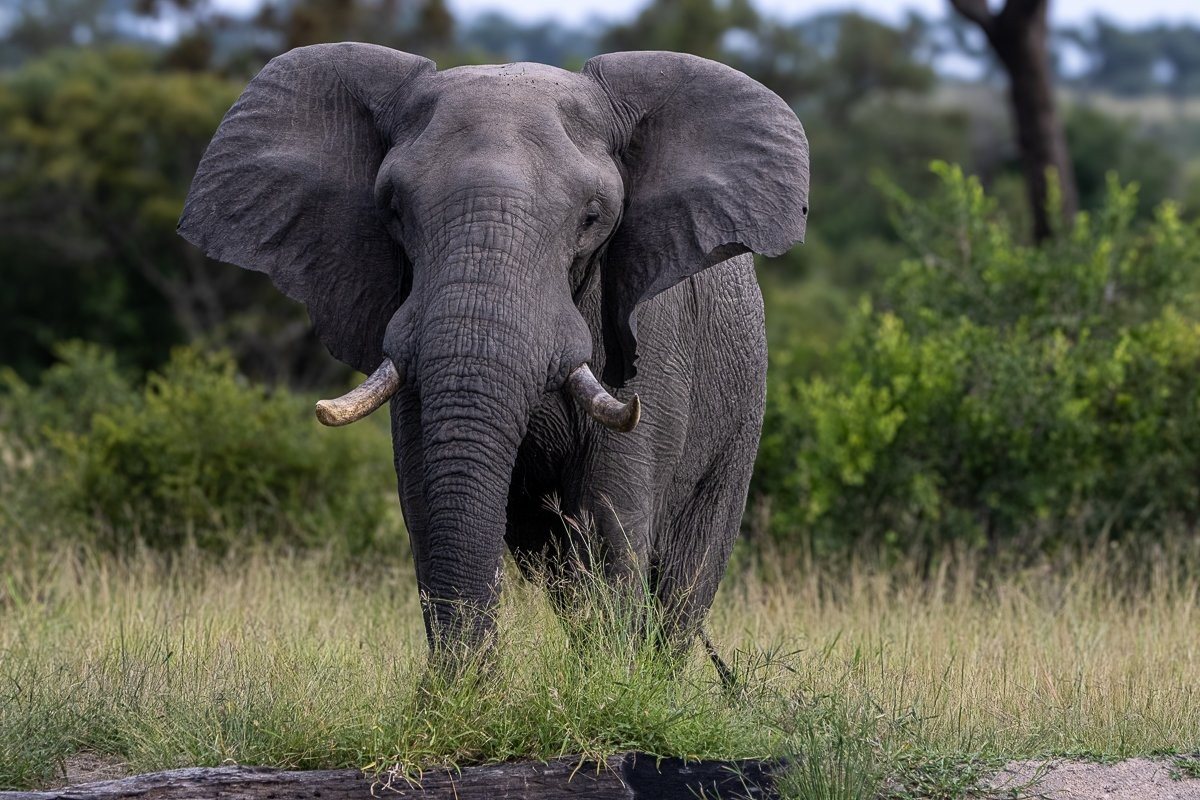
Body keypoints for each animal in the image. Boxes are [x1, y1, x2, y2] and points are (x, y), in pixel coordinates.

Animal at [179, 43, 809, 660]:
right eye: (393, 209)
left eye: (592, 217)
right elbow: (427, 506)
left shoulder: (652, 337)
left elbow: (609, 515)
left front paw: (612, 682)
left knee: (685, 574)